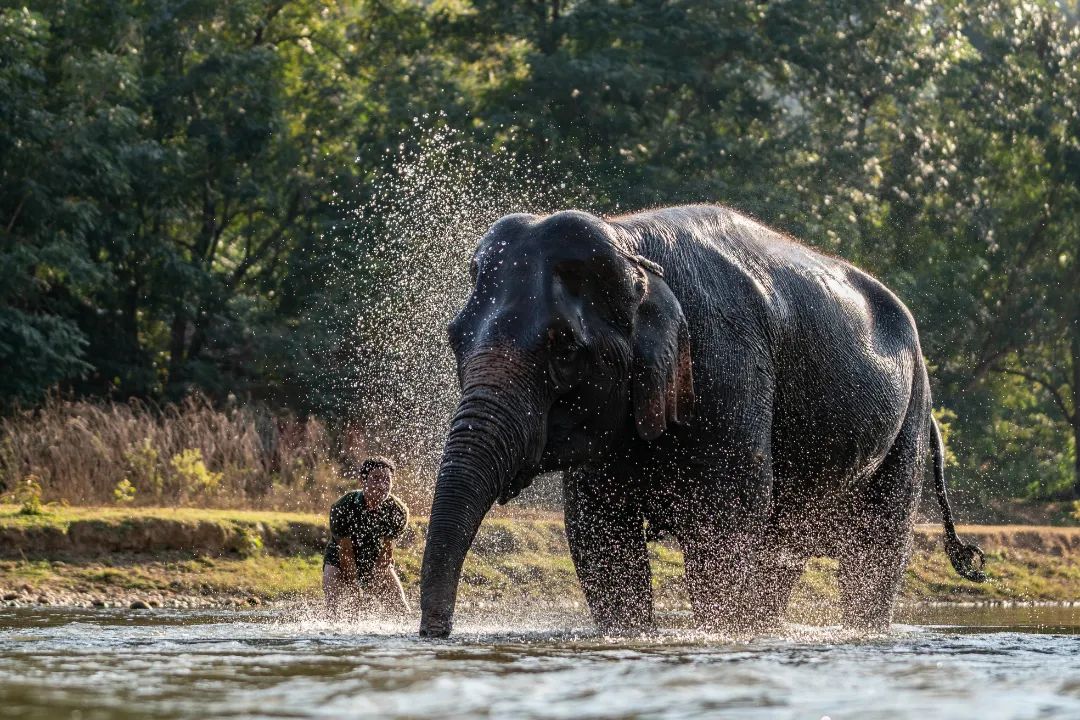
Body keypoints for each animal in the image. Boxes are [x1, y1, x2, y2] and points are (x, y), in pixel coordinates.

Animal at [414, 205, 989, 639]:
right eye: (454, 338)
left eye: (565, 349)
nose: (435, 631)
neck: (631, 243)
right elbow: (600, 537)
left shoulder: (729, 371)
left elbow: (721, 532)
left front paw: (715, 633)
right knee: (782, 556)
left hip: (910, 417)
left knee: (873, 555)